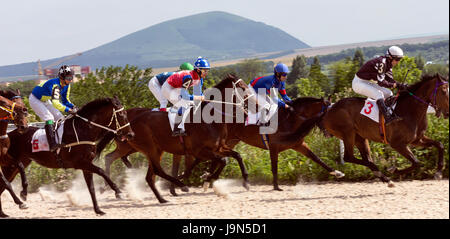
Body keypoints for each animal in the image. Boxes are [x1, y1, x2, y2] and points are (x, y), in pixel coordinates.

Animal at [0, 96, 134, 216]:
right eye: (122, 114)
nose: (131, 134)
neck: (83, 130)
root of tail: (9, 134)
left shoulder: (86, 165)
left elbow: (91, 188)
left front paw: (98, 210)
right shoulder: (80, 163)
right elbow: (102, 171)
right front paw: (118, 192)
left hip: (15, 166)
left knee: (3, 184)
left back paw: (6, 211)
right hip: (11, 165)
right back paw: (21, 197)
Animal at [96, 74, 255, 203]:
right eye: (242, 87)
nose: (254, 102)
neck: (210, 120)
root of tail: (130, 122)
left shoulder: (219, 147)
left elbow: (236, 156)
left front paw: (246, 182)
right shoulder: (198, 151)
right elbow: (221, 160)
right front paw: (206, 178)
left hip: (152, 149)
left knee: (147, 173)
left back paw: (161, 197)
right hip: (147, 148)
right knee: (153, 170)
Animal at [318, 74, 448, 186]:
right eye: (443, 91)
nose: (447, 112)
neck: (410, 110)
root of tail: (329, 110)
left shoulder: (417, 140)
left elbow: (440, 145)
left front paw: (438, 172)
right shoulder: (397, 144)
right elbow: (416, 162)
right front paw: (394, 170)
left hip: (360, 138)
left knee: (365, 158)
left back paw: (383, 177)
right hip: (348, 133)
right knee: (349, 157)